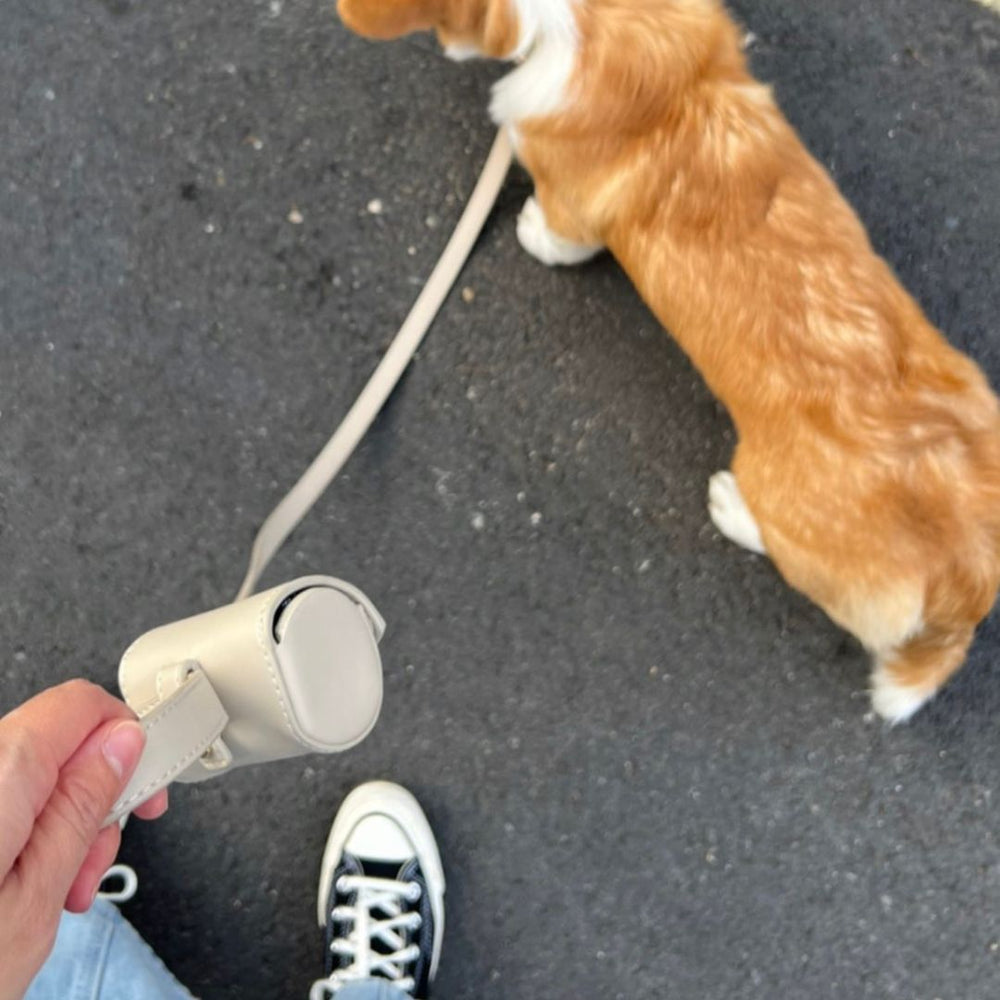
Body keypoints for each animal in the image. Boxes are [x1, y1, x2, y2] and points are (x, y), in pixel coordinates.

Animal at [338, 0, 1000, 724]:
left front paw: (531, 228)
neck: (609, 22)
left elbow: (555, 233)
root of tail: (969, 574)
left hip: (788, 514)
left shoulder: (572, 213)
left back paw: (734, 508)